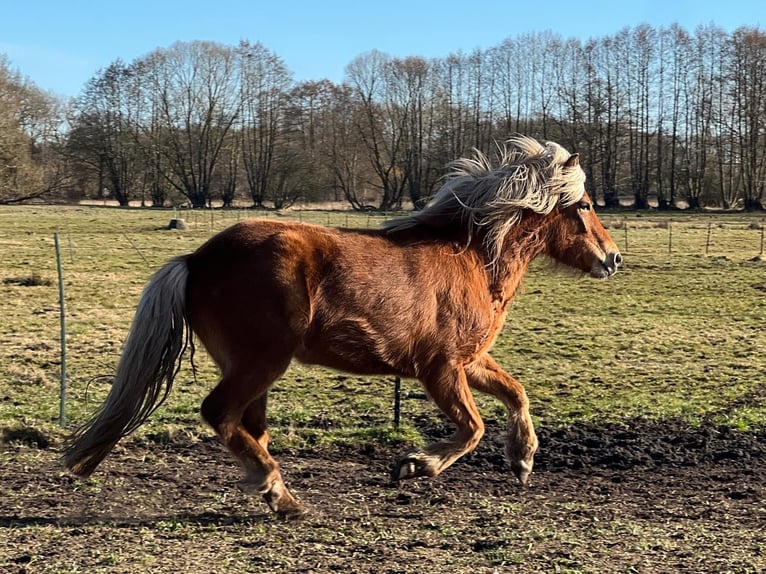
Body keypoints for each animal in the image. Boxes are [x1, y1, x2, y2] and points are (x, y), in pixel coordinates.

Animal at [63, 136, 622, 519]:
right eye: (585, 205)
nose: (613, 259)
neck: (474, 257)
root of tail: (196, 260)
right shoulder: (440, 369)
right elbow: (472, 428)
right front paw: (414, 466)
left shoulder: (470, 360)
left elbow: (516, 393)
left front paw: (522, 460)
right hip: (262, 361)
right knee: (220, 413)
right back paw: (270, 485)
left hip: (252, 369)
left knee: (248, 425)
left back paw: (282, 498)